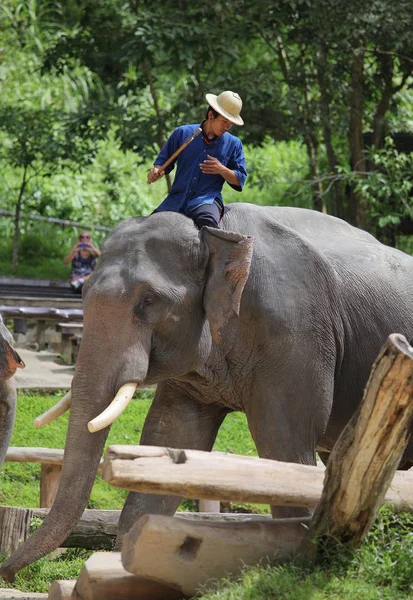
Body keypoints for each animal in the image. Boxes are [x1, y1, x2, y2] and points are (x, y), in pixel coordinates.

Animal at [0, 203, 412, 580]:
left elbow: (285, 447)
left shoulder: (297, 335)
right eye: (82, 293)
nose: (8, 572)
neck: (217, 234)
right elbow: (171, 436)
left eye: (149, 301)